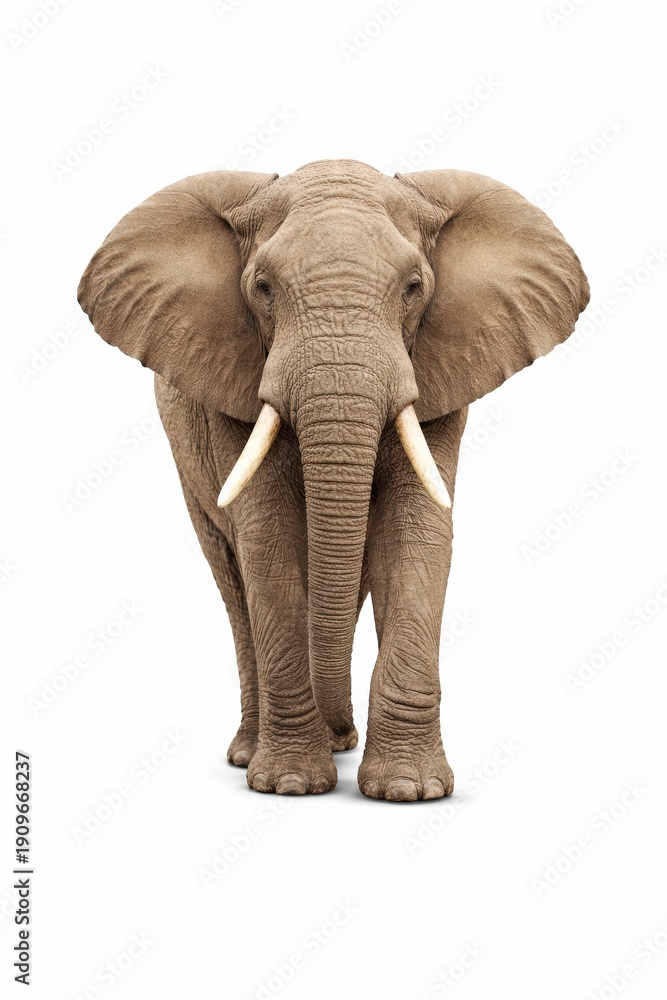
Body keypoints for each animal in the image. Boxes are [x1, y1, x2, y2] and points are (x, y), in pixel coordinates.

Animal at [78, 159, 589, 801]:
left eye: (414, 287)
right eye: (262, 287)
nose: (340, 731)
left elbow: (417, 537)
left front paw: (411, 790)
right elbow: (268, 541)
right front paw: (291, 784)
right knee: (232, 575)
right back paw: (254, 753)